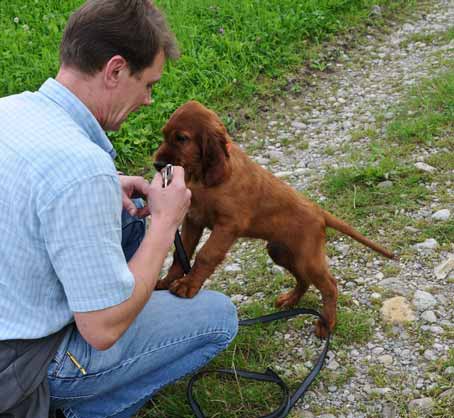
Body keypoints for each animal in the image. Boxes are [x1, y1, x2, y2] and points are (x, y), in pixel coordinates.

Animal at [153, 100, 394, 336]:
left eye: (181, 138)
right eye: (164, 135)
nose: (157, 165)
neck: (205, 177)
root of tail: (319, 212)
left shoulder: (228, 225)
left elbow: (206, 255)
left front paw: (188, 285)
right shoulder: (193, 220)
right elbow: (180, 254)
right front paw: (165, 282)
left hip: (308, 257)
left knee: (330, 285)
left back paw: (326, 324)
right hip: (281, 251)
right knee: (303, 279)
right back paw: (290, 300)